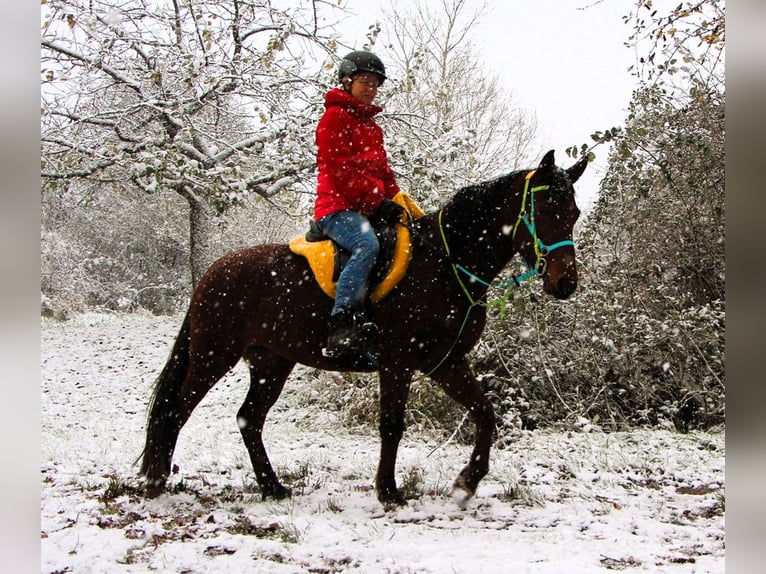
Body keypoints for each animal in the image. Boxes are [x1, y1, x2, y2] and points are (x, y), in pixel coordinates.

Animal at [141, 151, 592, 506]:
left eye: (573, 214)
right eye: (544, 211)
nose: (565, 282)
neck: (444, 264)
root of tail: (213, 272)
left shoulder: (445, 363)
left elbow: (485, 414)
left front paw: (467, 482)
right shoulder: (397, 362)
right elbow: (392, 424)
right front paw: (389, 491)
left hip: (272, 363)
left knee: (249, 419)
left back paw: (272, 487)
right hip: (213, 356)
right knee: (176, 409)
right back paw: (157, 480)